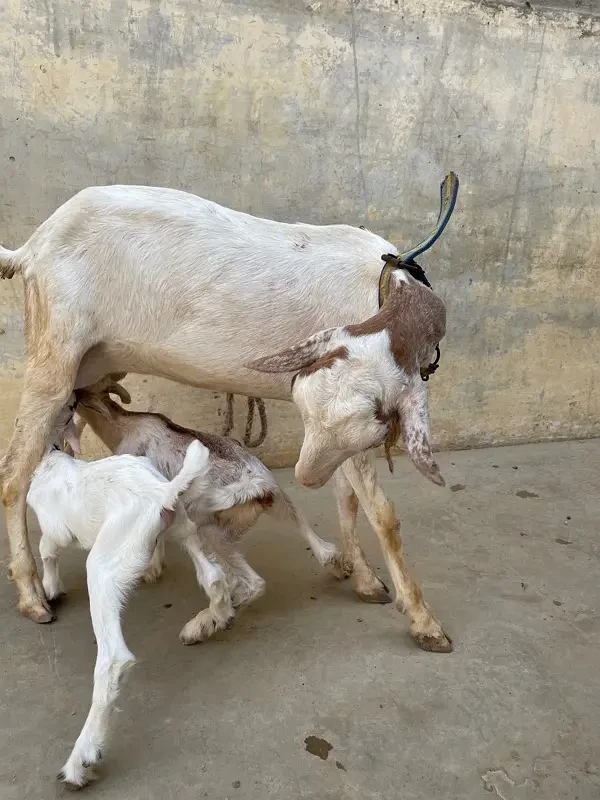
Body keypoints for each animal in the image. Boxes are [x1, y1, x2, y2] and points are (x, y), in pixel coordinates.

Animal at [0, 180, 454, 648]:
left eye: (374, 427)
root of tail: (31, 248)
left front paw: (364, 579)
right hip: (54, 354)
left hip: (90, 368)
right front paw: (423, 620)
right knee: (14, 476)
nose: (305, 477)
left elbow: (348, 499)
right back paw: (33, 595)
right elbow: (382, 514)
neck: (381, 285)